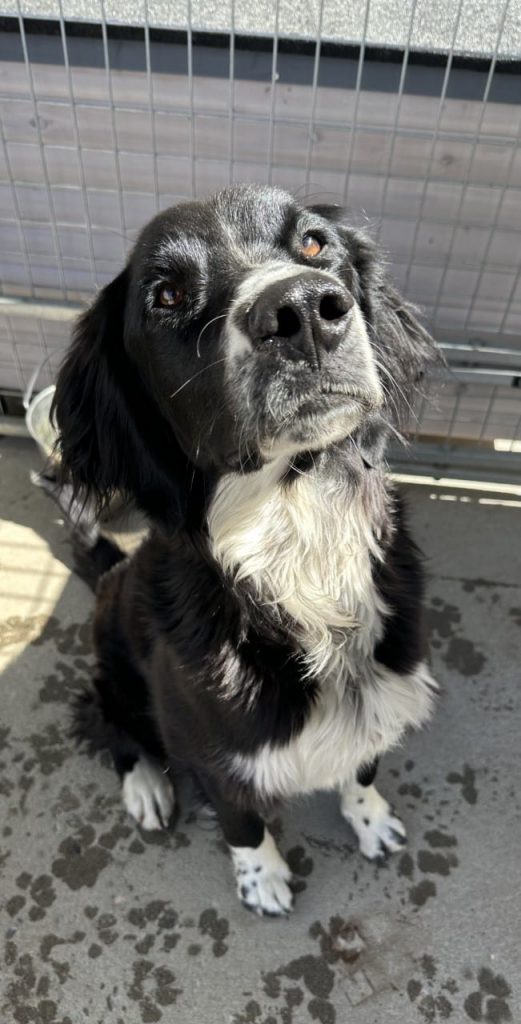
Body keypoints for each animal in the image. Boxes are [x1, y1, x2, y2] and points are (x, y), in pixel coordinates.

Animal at [52, 185, 439, 916]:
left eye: (315, 243)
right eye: (167, 294)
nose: (304, 311)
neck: (298, 535)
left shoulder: (380, 696)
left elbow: (362, 766)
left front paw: (370, 819)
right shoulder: (211, 750)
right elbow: (240, 818)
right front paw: (262, 877)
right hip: (111, 658)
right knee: (108, 718)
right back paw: (146, 786)